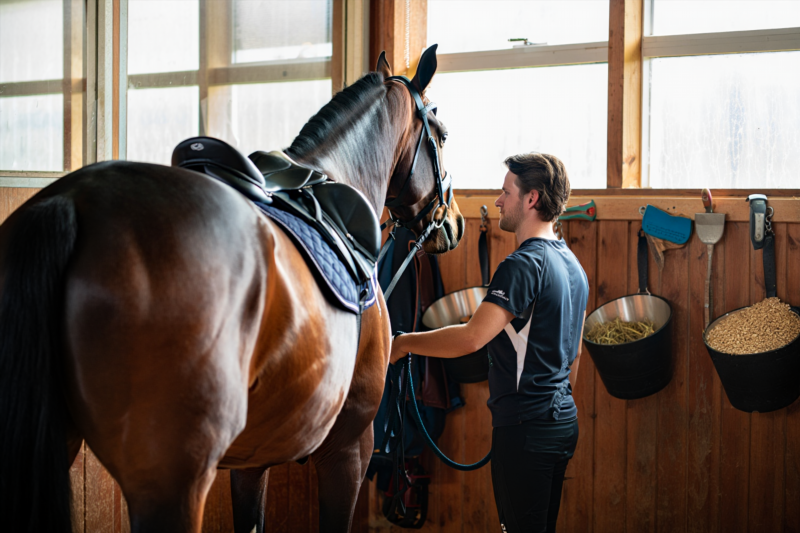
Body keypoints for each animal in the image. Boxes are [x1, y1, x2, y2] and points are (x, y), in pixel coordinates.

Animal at [0, 45, 463, 533]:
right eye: (443, 135)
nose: (452, 222)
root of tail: (68, 203)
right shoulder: (350, 447)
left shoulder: (250, 461)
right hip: (175, 481)